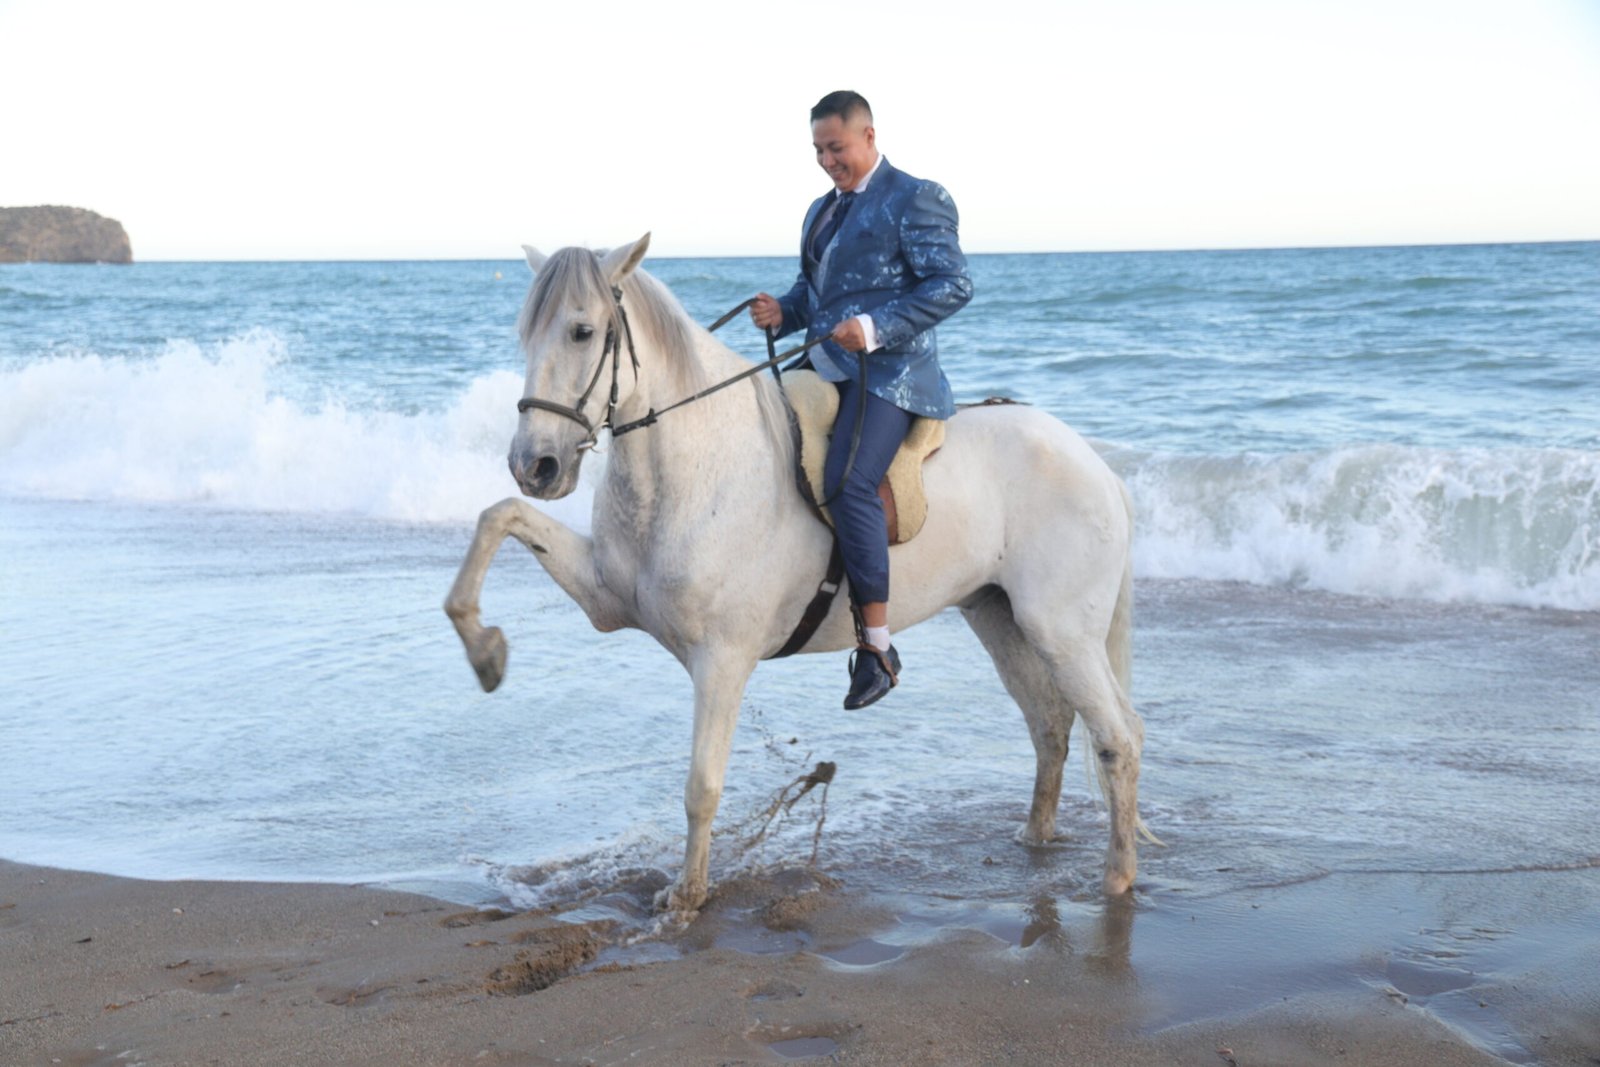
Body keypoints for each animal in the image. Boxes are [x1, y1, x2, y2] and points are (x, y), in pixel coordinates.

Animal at [444, 233, 1150, 915]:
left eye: (582, 331)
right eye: (527, 334)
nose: (534, 465)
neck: (695, 463)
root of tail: (1094, 462)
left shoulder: (722, 659)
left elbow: (702, 786)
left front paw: (687, 899)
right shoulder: (605, 602)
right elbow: (499, 516)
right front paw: (484, 652)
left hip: (1061, 632)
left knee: (1117, 738)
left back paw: (1116, 879)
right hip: (998, 618)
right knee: (1050, 727)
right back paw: (1035, 842)